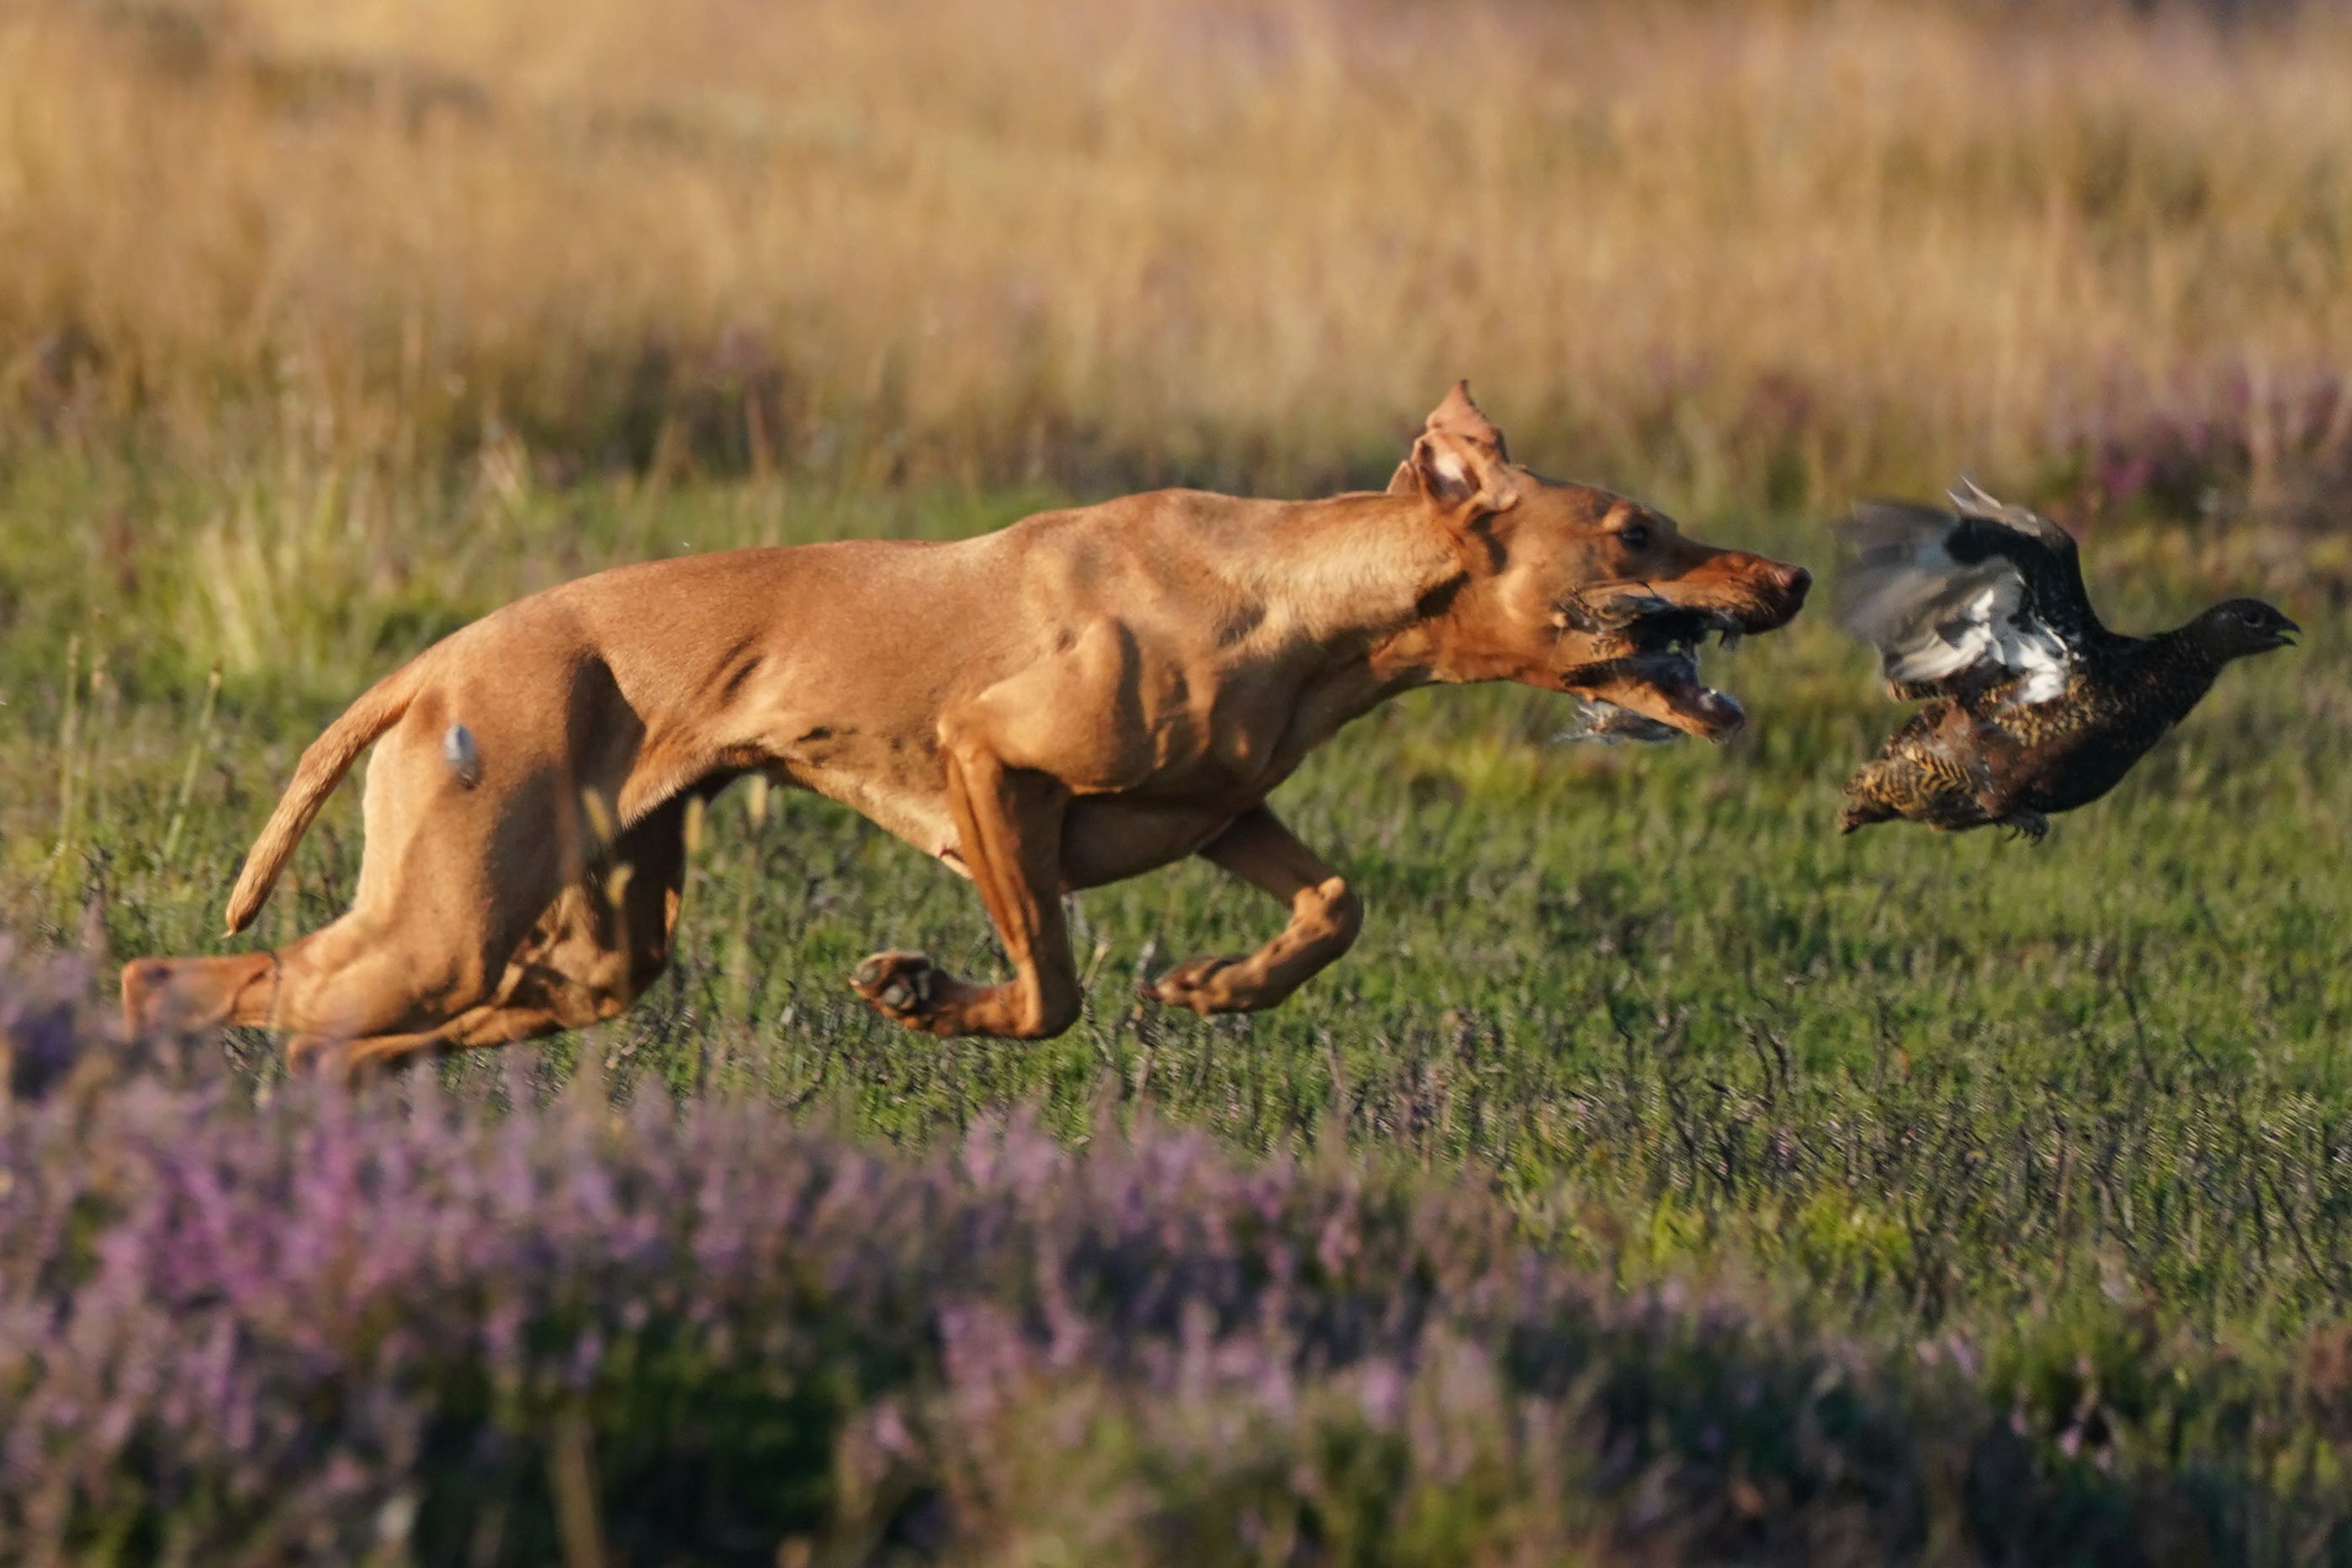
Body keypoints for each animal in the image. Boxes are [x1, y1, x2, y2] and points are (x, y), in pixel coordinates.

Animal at [119, 385, 1815, 1067]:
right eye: (1641, 529)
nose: (1789, 577)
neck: (1295, 597)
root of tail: (435, 664)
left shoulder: (1225, 809)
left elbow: (1335, 900)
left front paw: (1223, 984)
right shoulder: (988, 762)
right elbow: (1048, 983)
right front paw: (926, 995)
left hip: (588, 942)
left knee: (403, 1014)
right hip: (449, 912)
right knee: (192, 981)